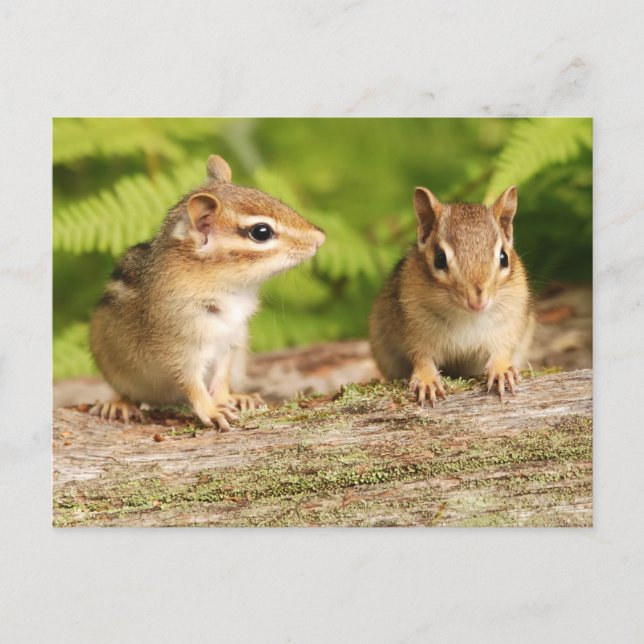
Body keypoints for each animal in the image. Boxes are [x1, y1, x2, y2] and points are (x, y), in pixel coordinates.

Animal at [89, 154, 325, 430]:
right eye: (261, 232)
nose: (320, 237)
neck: (230, 291)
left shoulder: (231, 339)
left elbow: (222, 374)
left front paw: (225, 399)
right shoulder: (179, 344)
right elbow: (190, 382)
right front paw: (210, 410)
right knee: (126, 392)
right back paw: (118, 404)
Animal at [369, 185, 534, 406]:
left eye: (504, 257)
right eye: (439, 259)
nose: (477, 302)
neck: (467, 316)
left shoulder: (508, 324)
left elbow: (502, 349)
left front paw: (501, 370)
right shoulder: (414, 329)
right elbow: (421, 357)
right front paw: (426, 380)